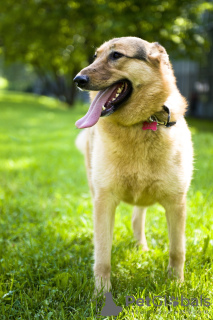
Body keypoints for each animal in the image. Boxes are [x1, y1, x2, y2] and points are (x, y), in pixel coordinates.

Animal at [73, 37, 193, 292]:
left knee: (138, 219)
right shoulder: (104, 201)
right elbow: (102, 256)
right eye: (96, 56)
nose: (78, 80)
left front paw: (176, 284)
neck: (141, 123)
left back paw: (142, 248)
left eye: (116, 55)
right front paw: (101, 293)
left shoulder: (176, 203)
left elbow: (177, 250)